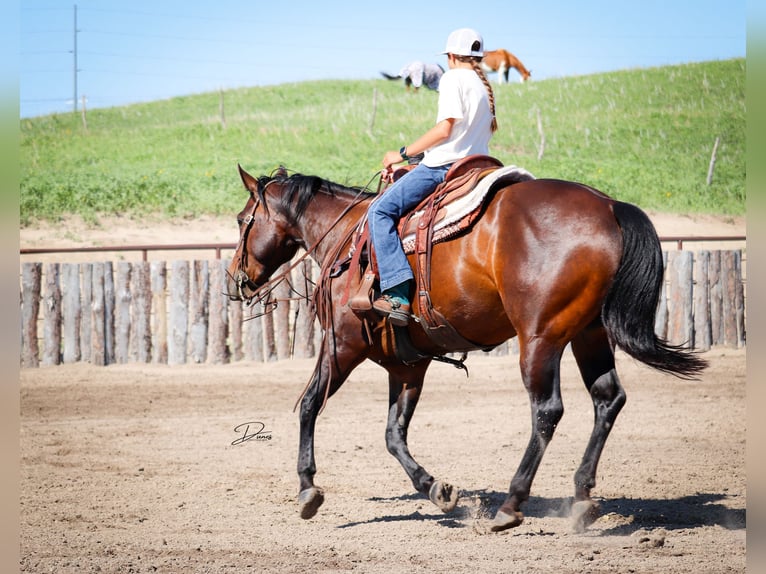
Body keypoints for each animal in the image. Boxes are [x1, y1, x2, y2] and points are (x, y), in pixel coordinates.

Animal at [228, 164, 708, 532]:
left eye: (240, 219)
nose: (237, 278)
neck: (347, 240)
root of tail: (608, 207)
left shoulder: (341, 345)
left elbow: (309, 404)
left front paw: (308, 489)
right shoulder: (408, 366)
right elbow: (393, 434)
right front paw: (436, 489)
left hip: (540, 338)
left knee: (547, 410)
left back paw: (511, 505)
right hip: (588, 334)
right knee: (608, 398)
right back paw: (582, 498)